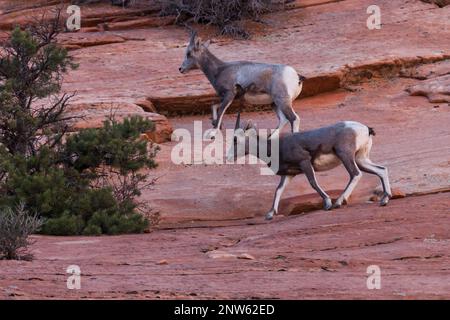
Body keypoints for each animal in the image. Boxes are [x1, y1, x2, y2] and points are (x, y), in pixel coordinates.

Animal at [229, 120, 390, 220]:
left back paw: (337, 203)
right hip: (361, 159)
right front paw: (270, 215)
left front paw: (327, 203)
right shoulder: (289, 175)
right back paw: (384, 200)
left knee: (355, 174)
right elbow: (278, 190)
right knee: (381, 170)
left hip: (346, 157)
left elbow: (313, 183)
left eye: (236, 139)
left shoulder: (305, 163)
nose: (229, 157)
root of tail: (365, 129)